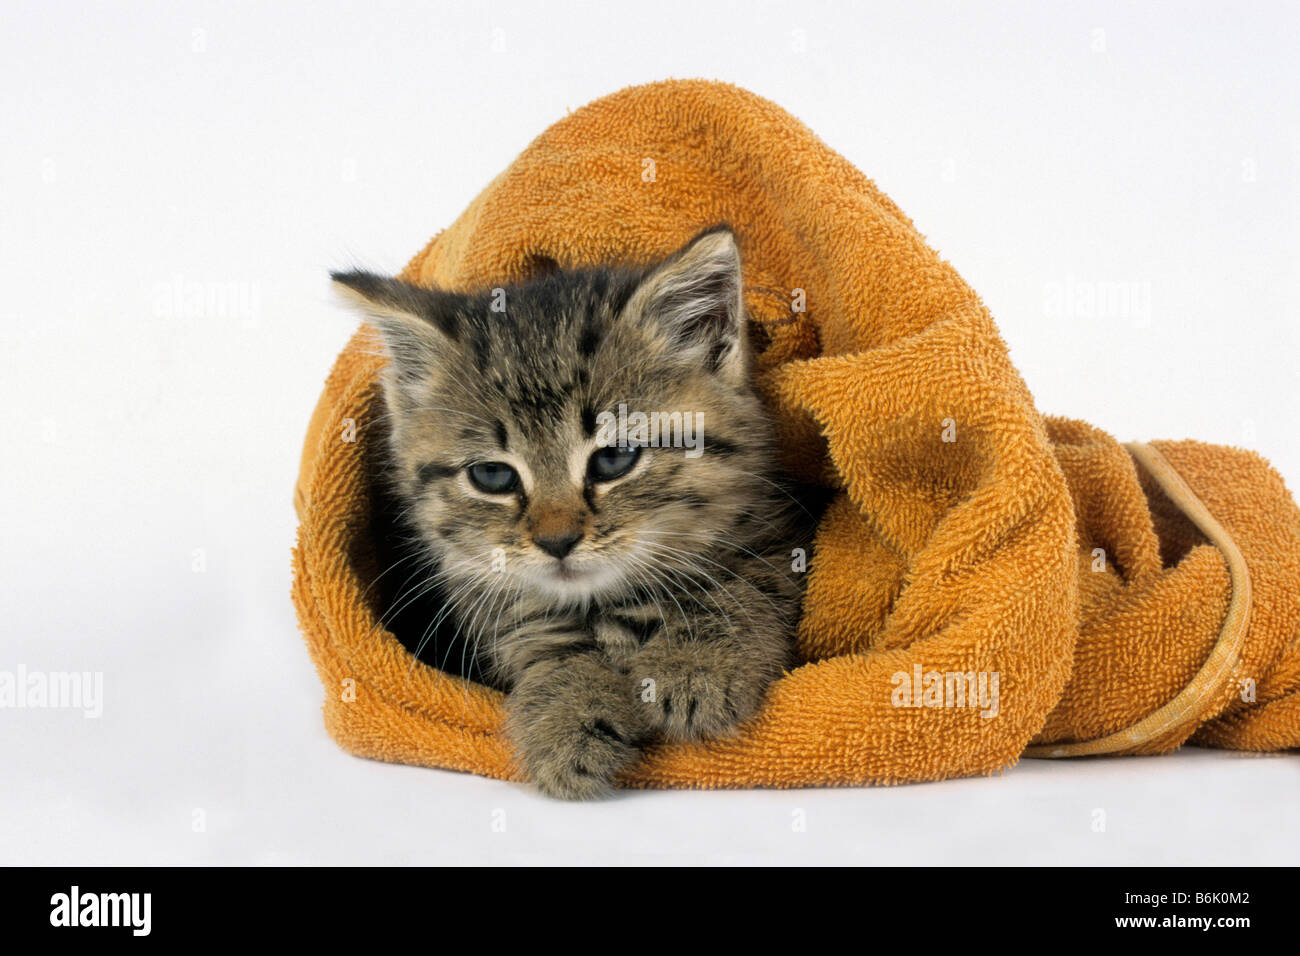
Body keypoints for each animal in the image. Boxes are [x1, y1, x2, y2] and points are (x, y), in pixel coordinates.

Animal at [330, 230, 806, 801]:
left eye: (614, 458)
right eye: (492, 476)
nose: (557, 541)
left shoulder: (780, 532)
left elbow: (747, 581)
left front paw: (696, 665)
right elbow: (541, 639)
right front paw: (567, 712)